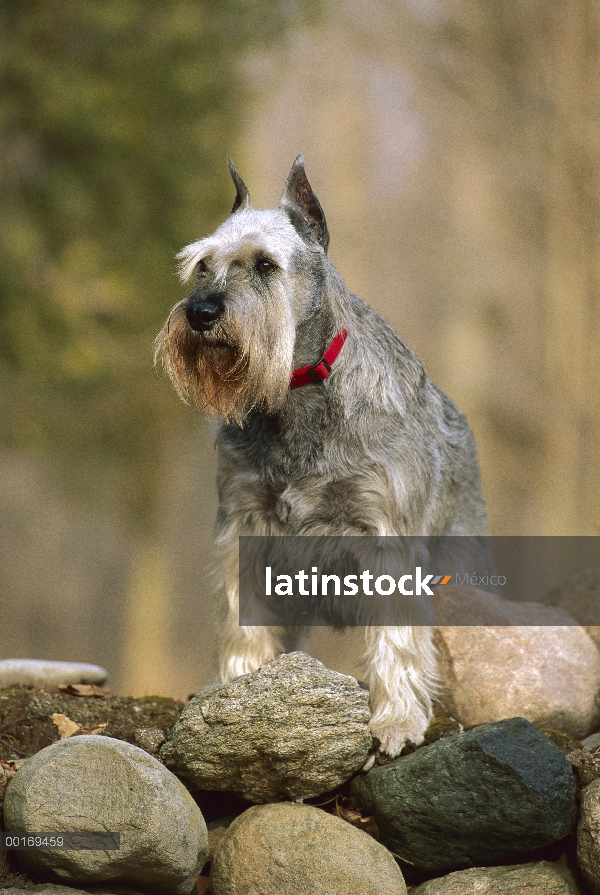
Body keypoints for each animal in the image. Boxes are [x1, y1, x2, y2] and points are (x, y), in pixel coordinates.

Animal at [156, 156, 488, 756]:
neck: (296, 395)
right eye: (202, 267)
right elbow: (244, 620)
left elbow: (397, 638)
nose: (200, 313)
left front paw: (396, 720)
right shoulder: (247, 522)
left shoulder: (384, 535)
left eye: (265, 264)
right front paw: (238, 692)